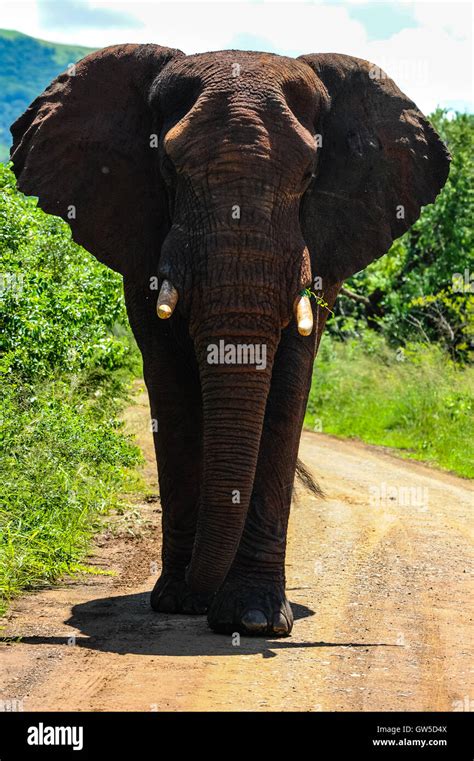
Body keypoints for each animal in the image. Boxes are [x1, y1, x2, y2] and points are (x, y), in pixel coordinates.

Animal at [9, 43, 450, 636]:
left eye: (310, 172)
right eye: (169, 169)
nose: (200, 591)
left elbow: (287, 394)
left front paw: (255, 619)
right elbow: (171, 391)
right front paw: (179, 601)